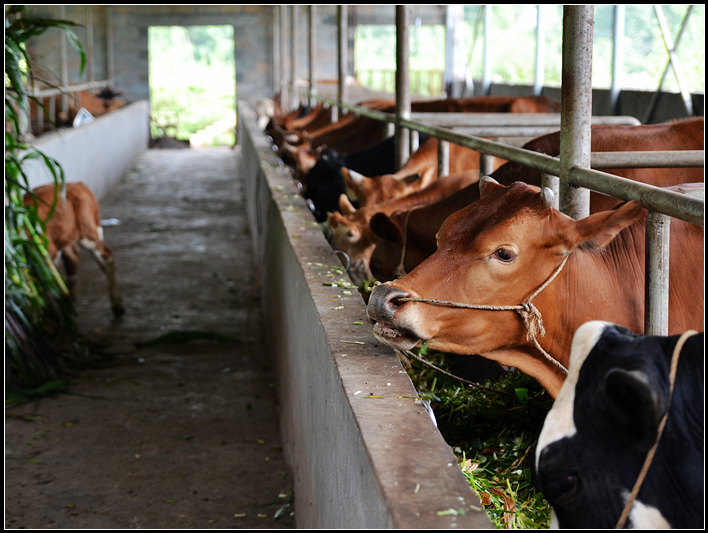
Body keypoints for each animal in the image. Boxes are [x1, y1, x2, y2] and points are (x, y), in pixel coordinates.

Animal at [24, 181, 124, 318]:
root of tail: (78, 184)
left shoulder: (46, 251)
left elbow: (41, 287)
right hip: (64, 235)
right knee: (73, 256)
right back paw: (69, 304)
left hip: (88, 231)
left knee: (105, 254)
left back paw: (117, 307)